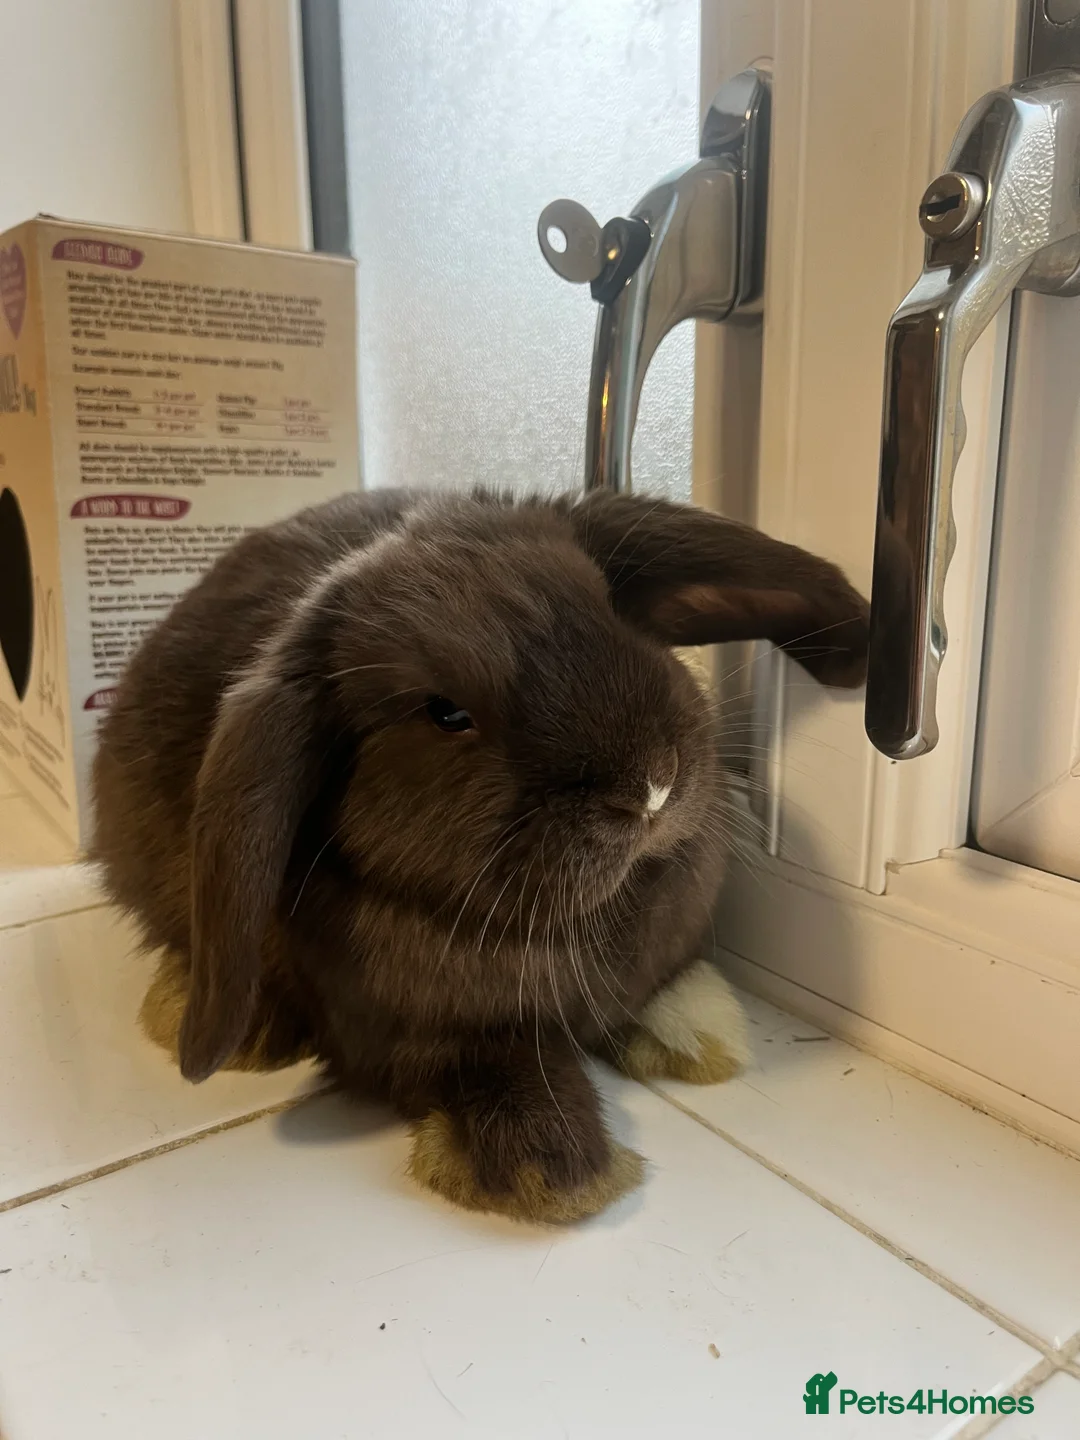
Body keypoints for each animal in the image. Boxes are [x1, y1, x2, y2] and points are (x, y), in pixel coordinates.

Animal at [91, 486, 869, 1223]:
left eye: (609, 609)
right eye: (446, 714)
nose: (651, 786)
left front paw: (699, 1031)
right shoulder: (418, 1037)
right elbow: (490, 1066)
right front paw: (553, 1171)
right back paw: (234, 1022)